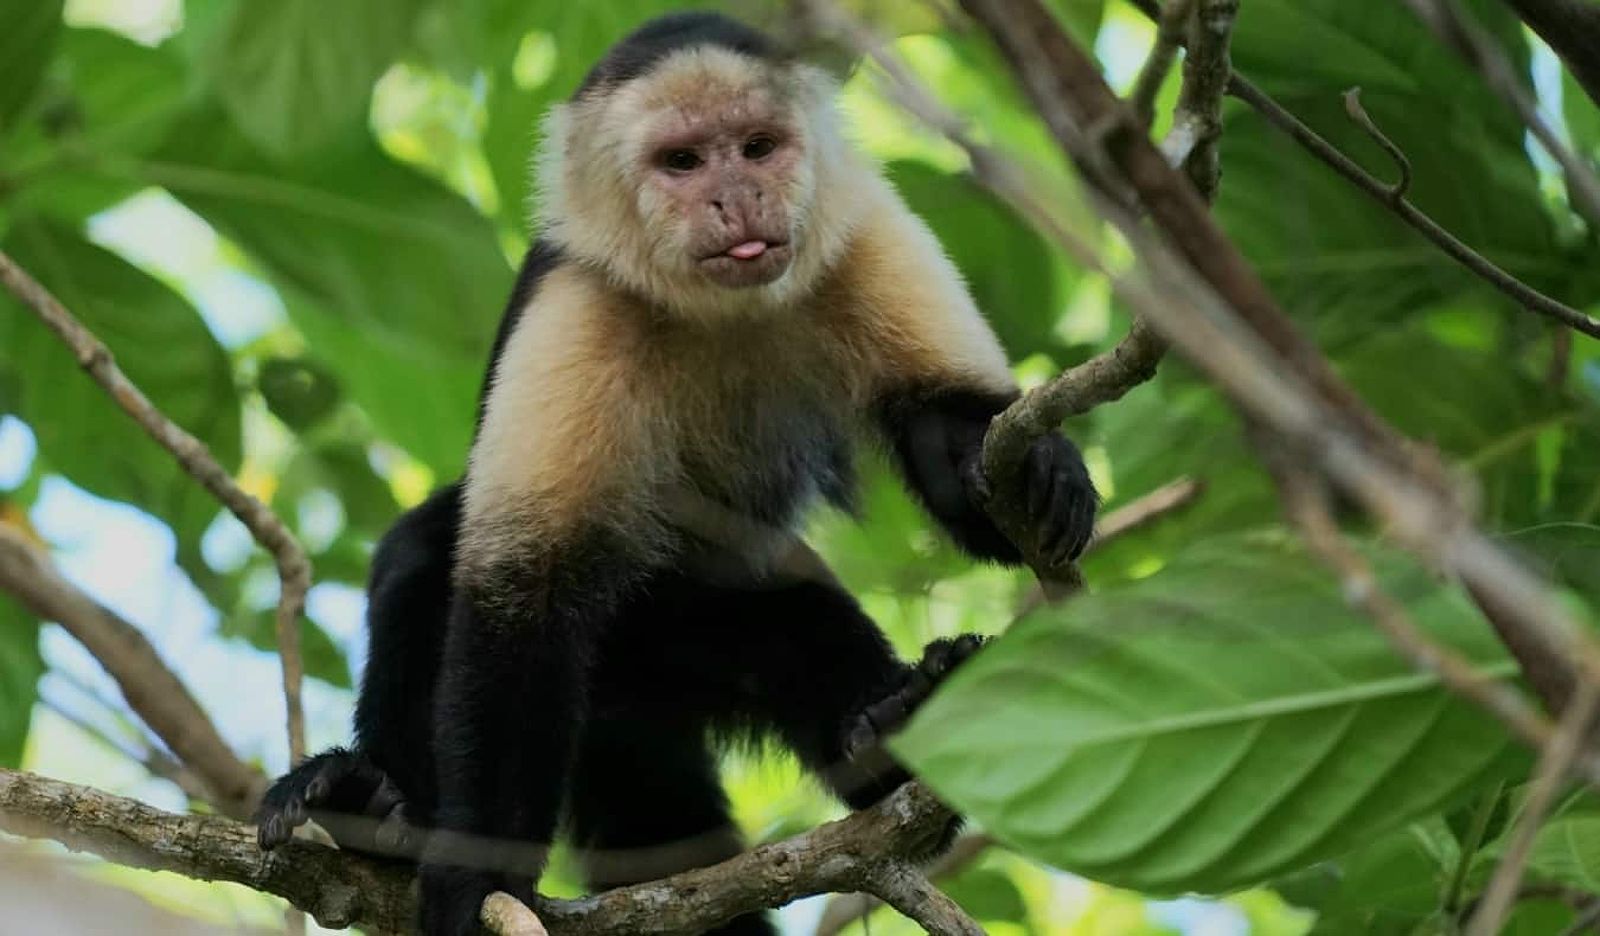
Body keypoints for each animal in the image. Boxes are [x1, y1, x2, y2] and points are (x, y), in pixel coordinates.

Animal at [256, 9, 1100, 934]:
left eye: (757, 147)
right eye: (684, 162)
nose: (736, 197)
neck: (720, 310)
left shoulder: (869, 232)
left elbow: (949, 441)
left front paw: (1037, 472)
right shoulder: (576, 304)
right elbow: (523, 594)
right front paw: (478, 877)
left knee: (795, 609)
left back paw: (890, 742)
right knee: (424, 553)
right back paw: (376, 810)